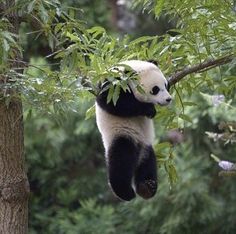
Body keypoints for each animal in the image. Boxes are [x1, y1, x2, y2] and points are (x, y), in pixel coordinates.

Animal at [95, 60, 171, 201]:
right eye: (155, 89)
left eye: (165, 85)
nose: (168, 99)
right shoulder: (112, 84)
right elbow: (113, 102)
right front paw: (149, 109)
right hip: (121, 134)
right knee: (121, 161)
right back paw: (125, 192)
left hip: (146, 145)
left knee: (148, 163)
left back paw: (146, 187)